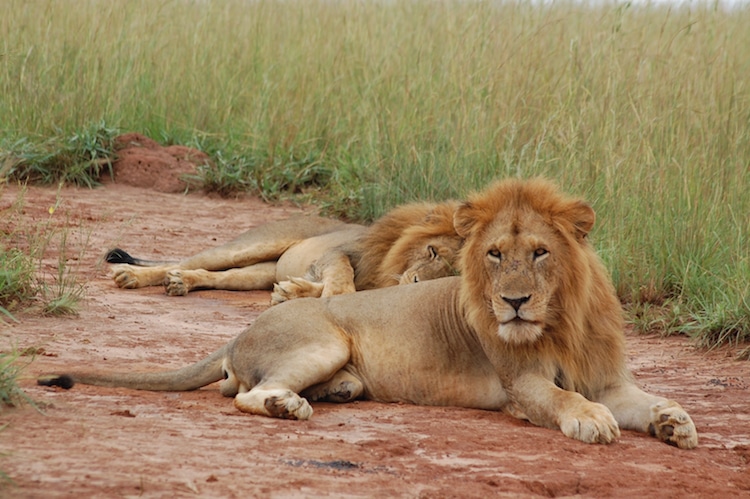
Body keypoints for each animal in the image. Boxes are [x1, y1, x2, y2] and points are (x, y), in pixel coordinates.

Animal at [108, 199, 464, 300]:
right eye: (432, 251)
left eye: (453, 272)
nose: (416, 284)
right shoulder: (337, 254)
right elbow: (343, 279)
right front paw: (327, 295)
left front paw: (292, 292)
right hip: (250, 245)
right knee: (183, 260)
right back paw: (129, 276)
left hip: (258, 273)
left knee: (215, 275)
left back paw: (182, 282)